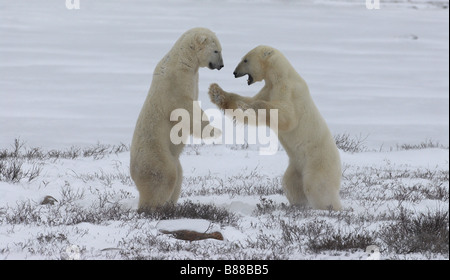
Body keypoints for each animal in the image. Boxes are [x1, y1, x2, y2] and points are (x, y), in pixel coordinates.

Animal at [130, 28, 223, 212]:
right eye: (216, 50)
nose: (221, 65)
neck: (183, 59)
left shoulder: (193, 77)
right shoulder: (175, 83)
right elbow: (186, 109)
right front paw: (215, 131)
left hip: (171, 157)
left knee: (179, 175)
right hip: (156, 155)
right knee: (165, 177)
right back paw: (153, 208)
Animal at [209, 45, 342, 210]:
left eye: (245, 60)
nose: (234, 73)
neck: (280, 75)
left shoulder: (288, 90)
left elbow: (286, 116)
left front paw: (252, 105)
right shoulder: (268, 89)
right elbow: (248, 109)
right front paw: (216, 92)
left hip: (318, 162)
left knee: (317, 187)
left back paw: (331, 207)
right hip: (296, 166)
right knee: (291, 184)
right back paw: (298, 204)